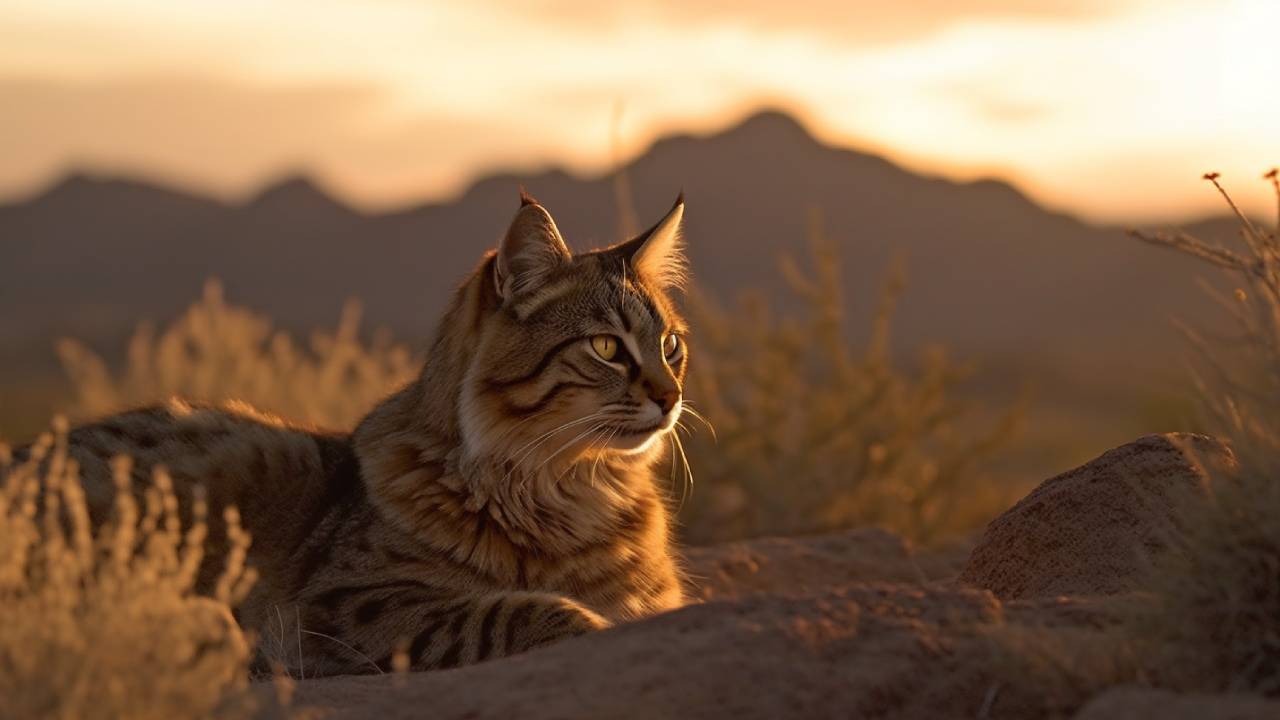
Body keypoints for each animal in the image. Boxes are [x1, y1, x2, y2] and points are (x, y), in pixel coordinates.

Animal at [7, 190, 691, 671]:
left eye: (671, 346)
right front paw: (589, 622)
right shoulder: (344, 607)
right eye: (606, 347)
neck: (572, 483)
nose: (672, 397)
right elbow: (521, 610)